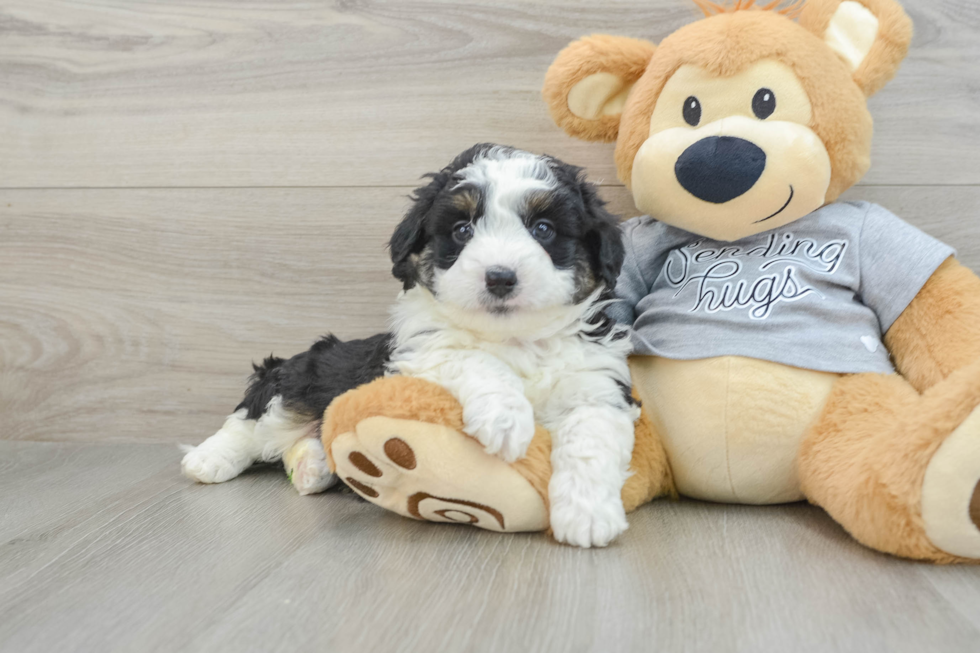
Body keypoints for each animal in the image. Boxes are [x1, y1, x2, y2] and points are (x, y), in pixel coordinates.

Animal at [181, 145, 640, 548]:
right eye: (462, 230)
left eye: (543, 229)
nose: (500, 277)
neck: (514, 339)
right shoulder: (414, 357)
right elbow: (469, 357)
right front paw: (505, 418)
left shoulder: (597, 384)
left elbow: (592, 438)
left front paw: (588, 515)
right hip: (302, 378)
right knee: (253, 420)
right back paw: (209, 459)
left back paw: (314, 466)